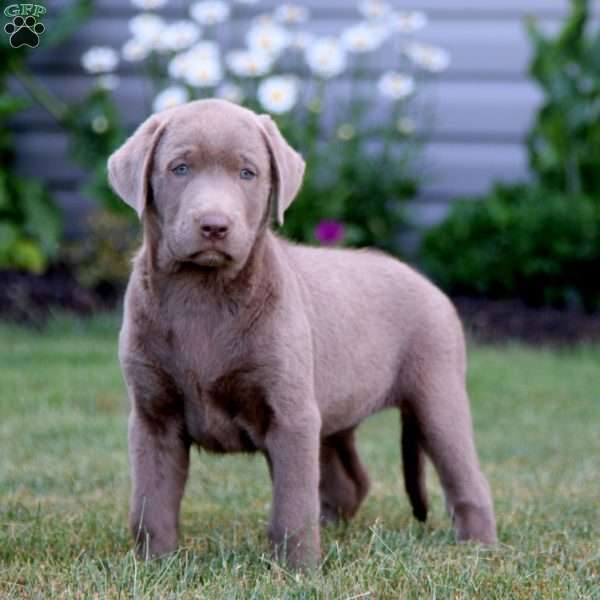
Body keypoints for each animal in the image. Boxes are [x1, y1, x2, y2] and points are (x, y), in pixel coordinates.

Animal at [109, 97, 496, 568]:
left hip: (437, 393)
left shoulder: (292, 413)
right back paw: (331, 526)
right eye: (179, 168)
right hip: (335, 410)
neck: (204, 292)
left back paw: (481, 548)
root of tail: (428, 283)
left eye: (248, 173)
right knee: (350, 481)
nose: (215, 226)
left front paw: (298, 570)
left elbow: (292, 504)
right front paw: (156, 565)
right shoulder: (153, 415)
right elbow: (152, 502)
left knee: (467, 479)